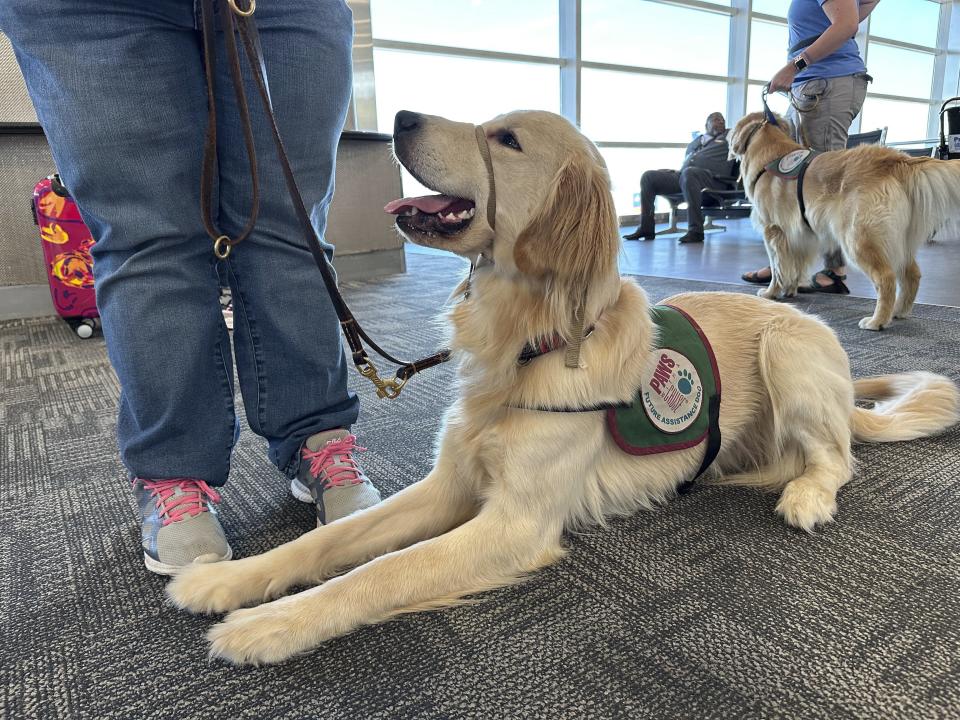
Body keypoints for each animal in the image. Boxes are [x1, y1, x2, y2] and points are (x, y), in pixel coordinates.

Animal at [728, 112, 960, 332]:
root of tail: (896, 159)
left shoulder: (774, 231)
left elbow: (778, 268)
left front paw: (771, 293)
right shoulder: (800, 236)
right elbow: (793, 266)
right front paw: (790, 290)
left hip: (858, 238)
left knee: (886, 278)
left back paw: (877, 321)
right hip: (899, 241)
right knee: (912, 275)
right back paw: (899, 311)